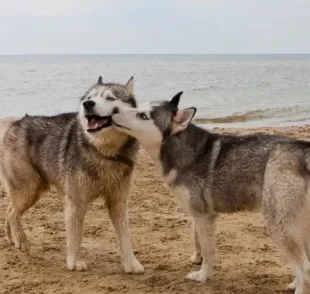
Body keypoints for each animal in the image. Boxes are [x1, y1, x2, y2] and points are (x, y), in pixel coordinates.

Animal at [0, 76, 145, 274]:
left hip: (31, 190)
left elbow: (125, 236)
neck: (104, 153)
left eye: (110, 98)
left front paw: (132, 263)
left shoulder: (118, 202)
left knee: (8, 210)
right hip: (29, 190)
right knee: (13, 213)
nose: (88, 104)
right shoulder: (76, 202)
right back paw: (22, 241)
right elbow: (76, 236)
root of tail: (16, 123)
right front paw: (74, 262)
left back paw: (12, 239)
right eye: (90, 97)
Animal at [112, 93, 310, 292]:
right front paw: (196, 258)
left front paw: (202, 275)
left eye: (143, 116)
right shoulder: (198, 215)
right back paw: (295, 282)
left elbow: (208, 251)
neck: (180, 147)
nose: (113, 111)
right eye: (138, 107)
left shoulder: (203, 216)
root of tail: (303, 152)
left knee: (304, 267)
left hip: (278, 225)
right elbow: (196, 237)